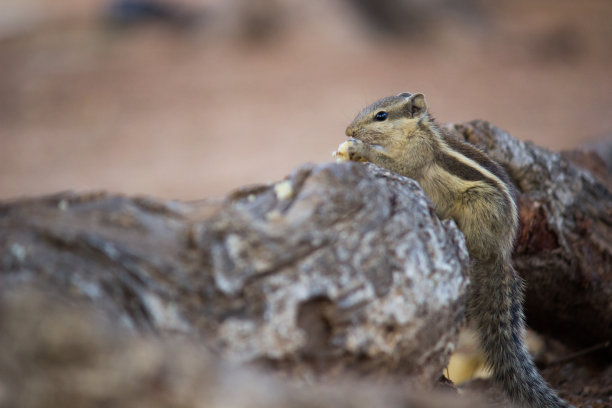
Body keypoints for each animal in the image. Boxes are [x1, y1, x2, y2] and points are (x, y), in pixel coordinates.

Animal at [342, 93, 572, 408]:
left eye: (381, 116)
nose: (348, 131)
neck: (414, 132)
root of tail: (501, 253)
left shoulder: (417, 155)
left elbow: (400, 167)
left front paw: (359, 150)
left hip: (477, 206)